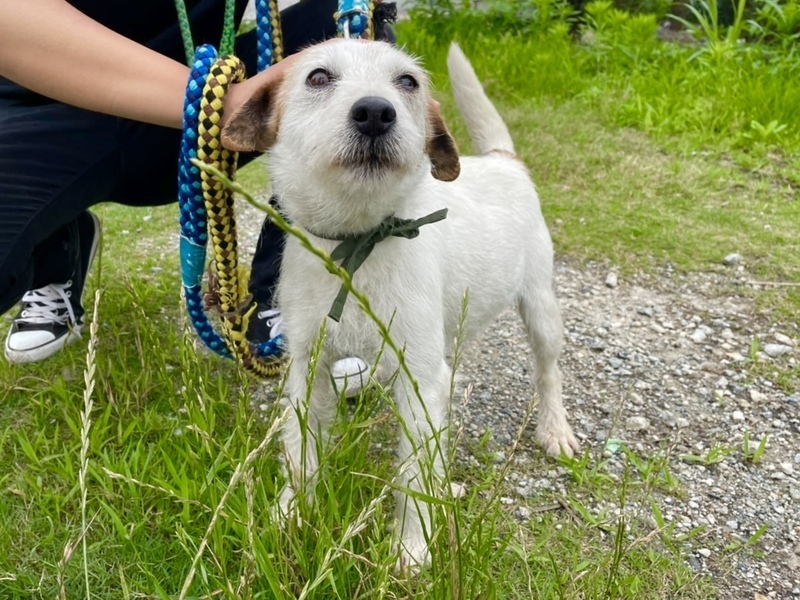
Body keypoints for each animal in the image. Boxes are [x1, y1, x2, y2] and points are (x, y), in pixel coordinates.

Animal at [222, 39, 579, 570]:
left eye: (407, 82)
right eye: (318, 76)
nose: (375, 112)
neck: (359, 242)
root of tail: (503, 160)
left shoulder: (420, 381)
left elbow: (414, 477)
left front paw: (412, 550)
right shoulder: (308, 368)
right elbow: (300, 452)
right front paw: (291, 515)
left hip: (540, 308)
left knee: (548, 371)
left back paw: (554, 429)